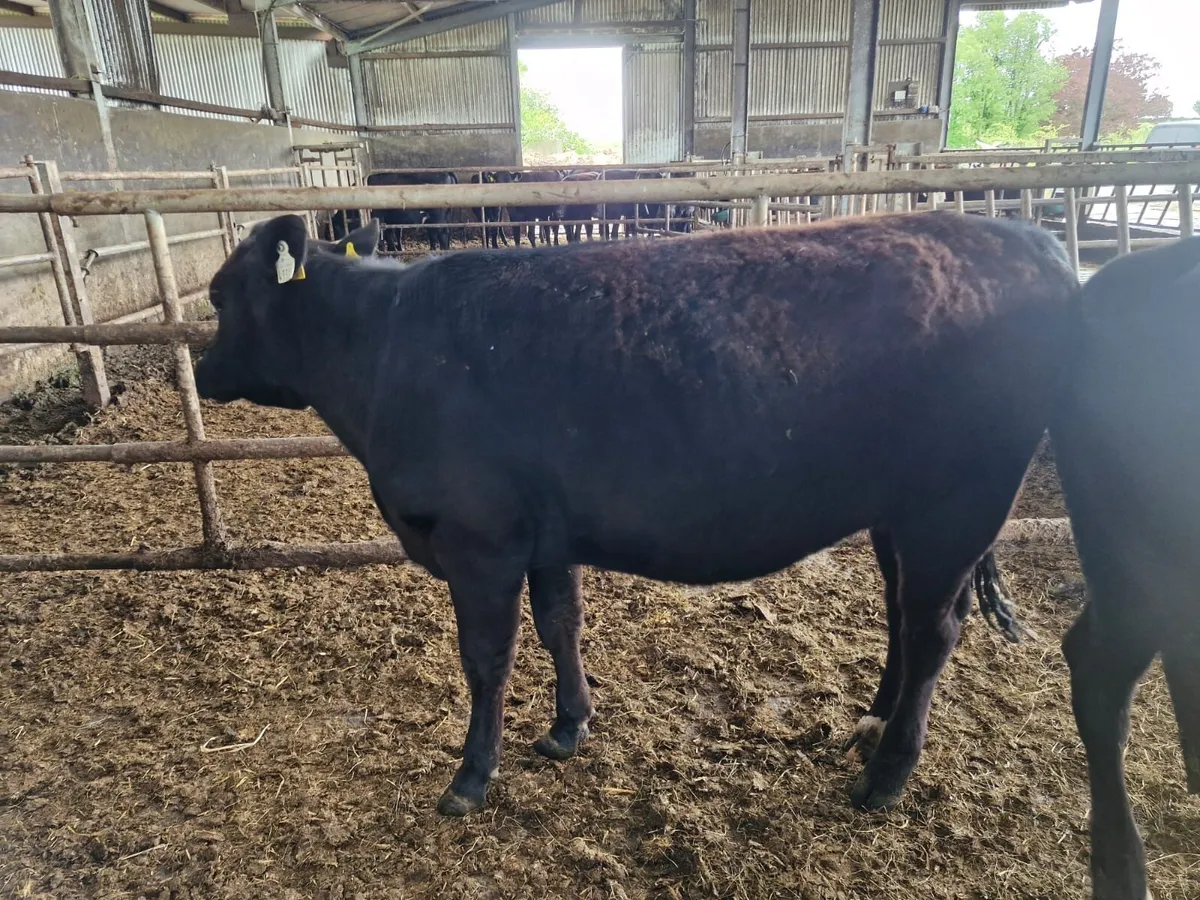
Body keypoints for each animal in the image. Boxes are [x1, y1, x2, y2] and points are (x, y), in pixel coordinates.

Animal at [193, 211, 1075, 819]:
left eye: (219, 293)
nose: (197, 370)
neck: (384, 350)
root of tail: (1027, 238)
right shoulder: (544, 534)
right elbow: (561, 624)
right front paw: (568, 728)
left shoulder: (480, 539)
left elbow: (486, 659)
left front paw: (471, 776)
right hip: (898, 512)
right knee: (901, 612)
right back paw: (873, 720)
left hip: (954, 505)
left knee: (935, 630)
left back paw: (886, 777)